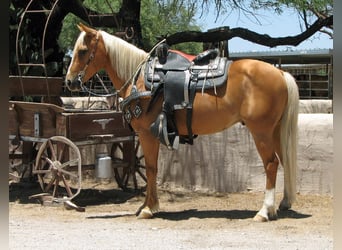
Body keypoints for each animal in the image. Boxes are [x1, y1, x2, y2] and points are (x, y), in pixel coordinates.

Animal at [65, 23, 298, 222]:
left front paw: (148, 208)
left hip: (261, 132)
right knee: (285, 160)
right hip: (275, 131)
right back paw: (284, 203)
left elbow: (151, 169)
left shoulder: (146, 134)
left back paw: (264, 211)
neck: (139, 80)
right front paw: (147, 206)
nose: (69, 81)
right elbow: (152, 169)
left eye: (83, 51)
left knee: (271, 164)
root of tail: (279, 72)